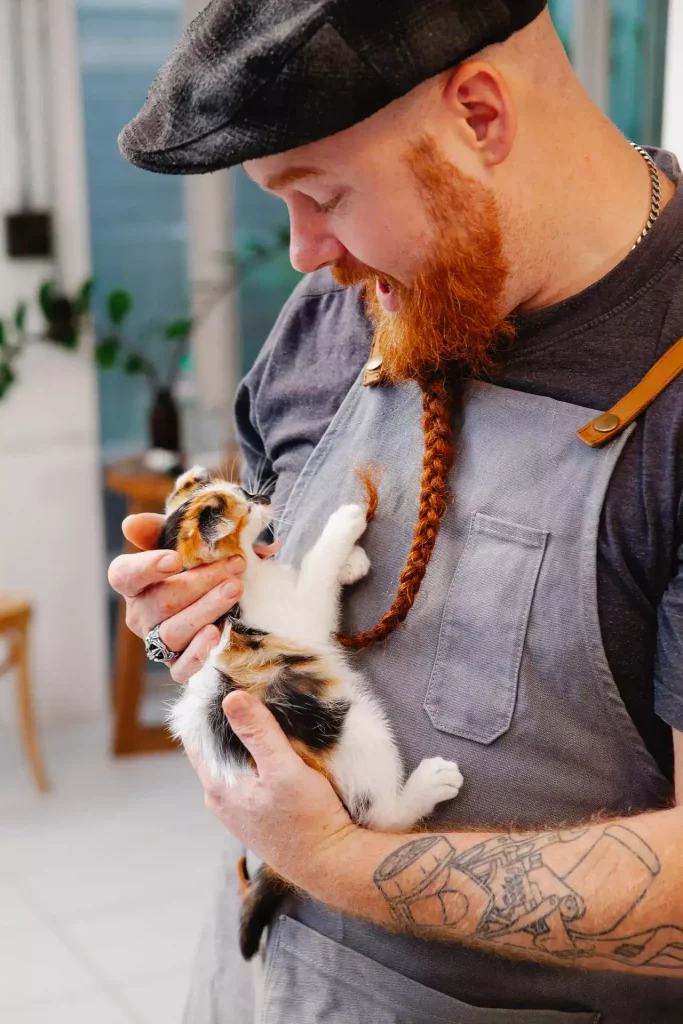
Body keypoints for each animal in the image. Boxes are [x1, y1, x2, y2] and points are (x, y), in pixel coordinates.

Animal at [160, 466, 464, 958]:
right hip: (354, 728)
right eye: (246, 505)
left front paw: (352, 563)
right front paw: (345, 525)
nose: (264, 496)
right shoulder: (300, 614)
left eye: (244, 491)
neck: (245, 582)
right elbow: (316, 570)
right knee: (378, 817)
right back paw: (430, 784)